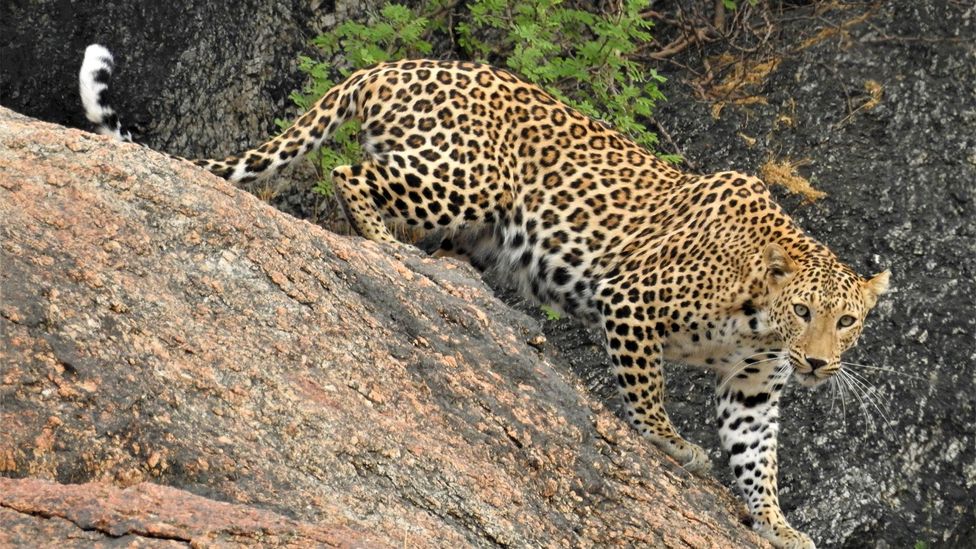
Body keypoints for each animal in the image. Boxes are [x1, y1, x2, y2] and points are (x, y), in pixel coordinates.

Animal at [82, 44, 892, 548]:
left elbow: (760, 457)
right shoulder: (631, 302)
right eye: (805, 312)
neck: (758, 317)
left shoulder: (753, 386)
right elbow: (648, 396)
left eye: (847, 320)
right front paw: (671, 445)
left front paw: (776, 522)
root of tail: (394, 65)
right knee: (349, 173)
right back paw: (384, 243)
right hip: (464, 179)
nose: (821, 364)